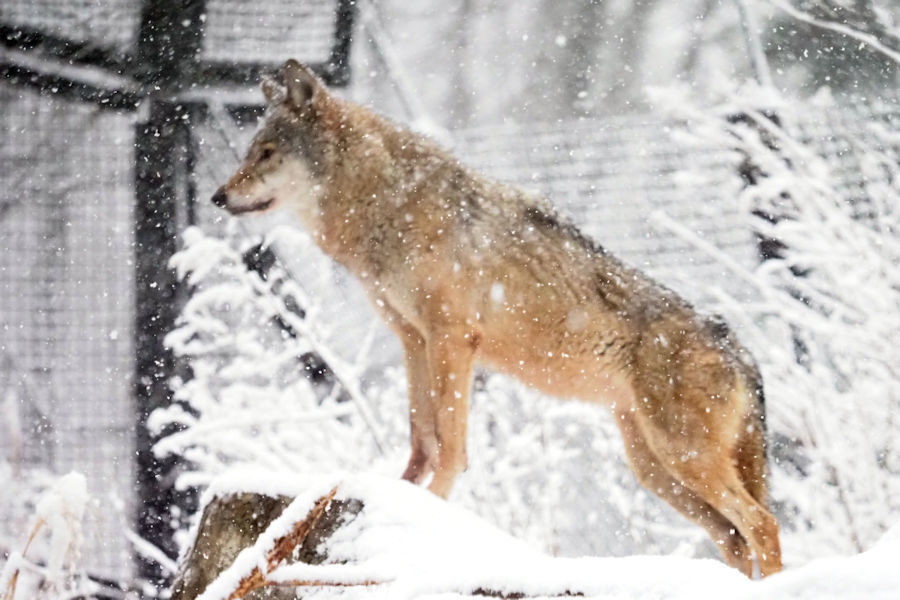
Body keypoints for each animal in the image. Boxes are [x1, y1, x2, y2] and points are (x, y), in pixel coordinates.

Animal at [211, 59, 780, 576]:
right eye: (249, 151)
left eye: (267, 152)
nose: (217, 196)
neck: (389, 204)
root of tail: (742, 351)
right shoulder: (412, 339)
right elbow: (421, 437)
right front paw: (398, 495)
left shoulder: (452, 339)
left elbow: (450, 444)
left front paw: (433, 508)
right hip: (654, 469)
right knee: (733, 536)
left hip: (682, 458)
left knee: (763, 524)